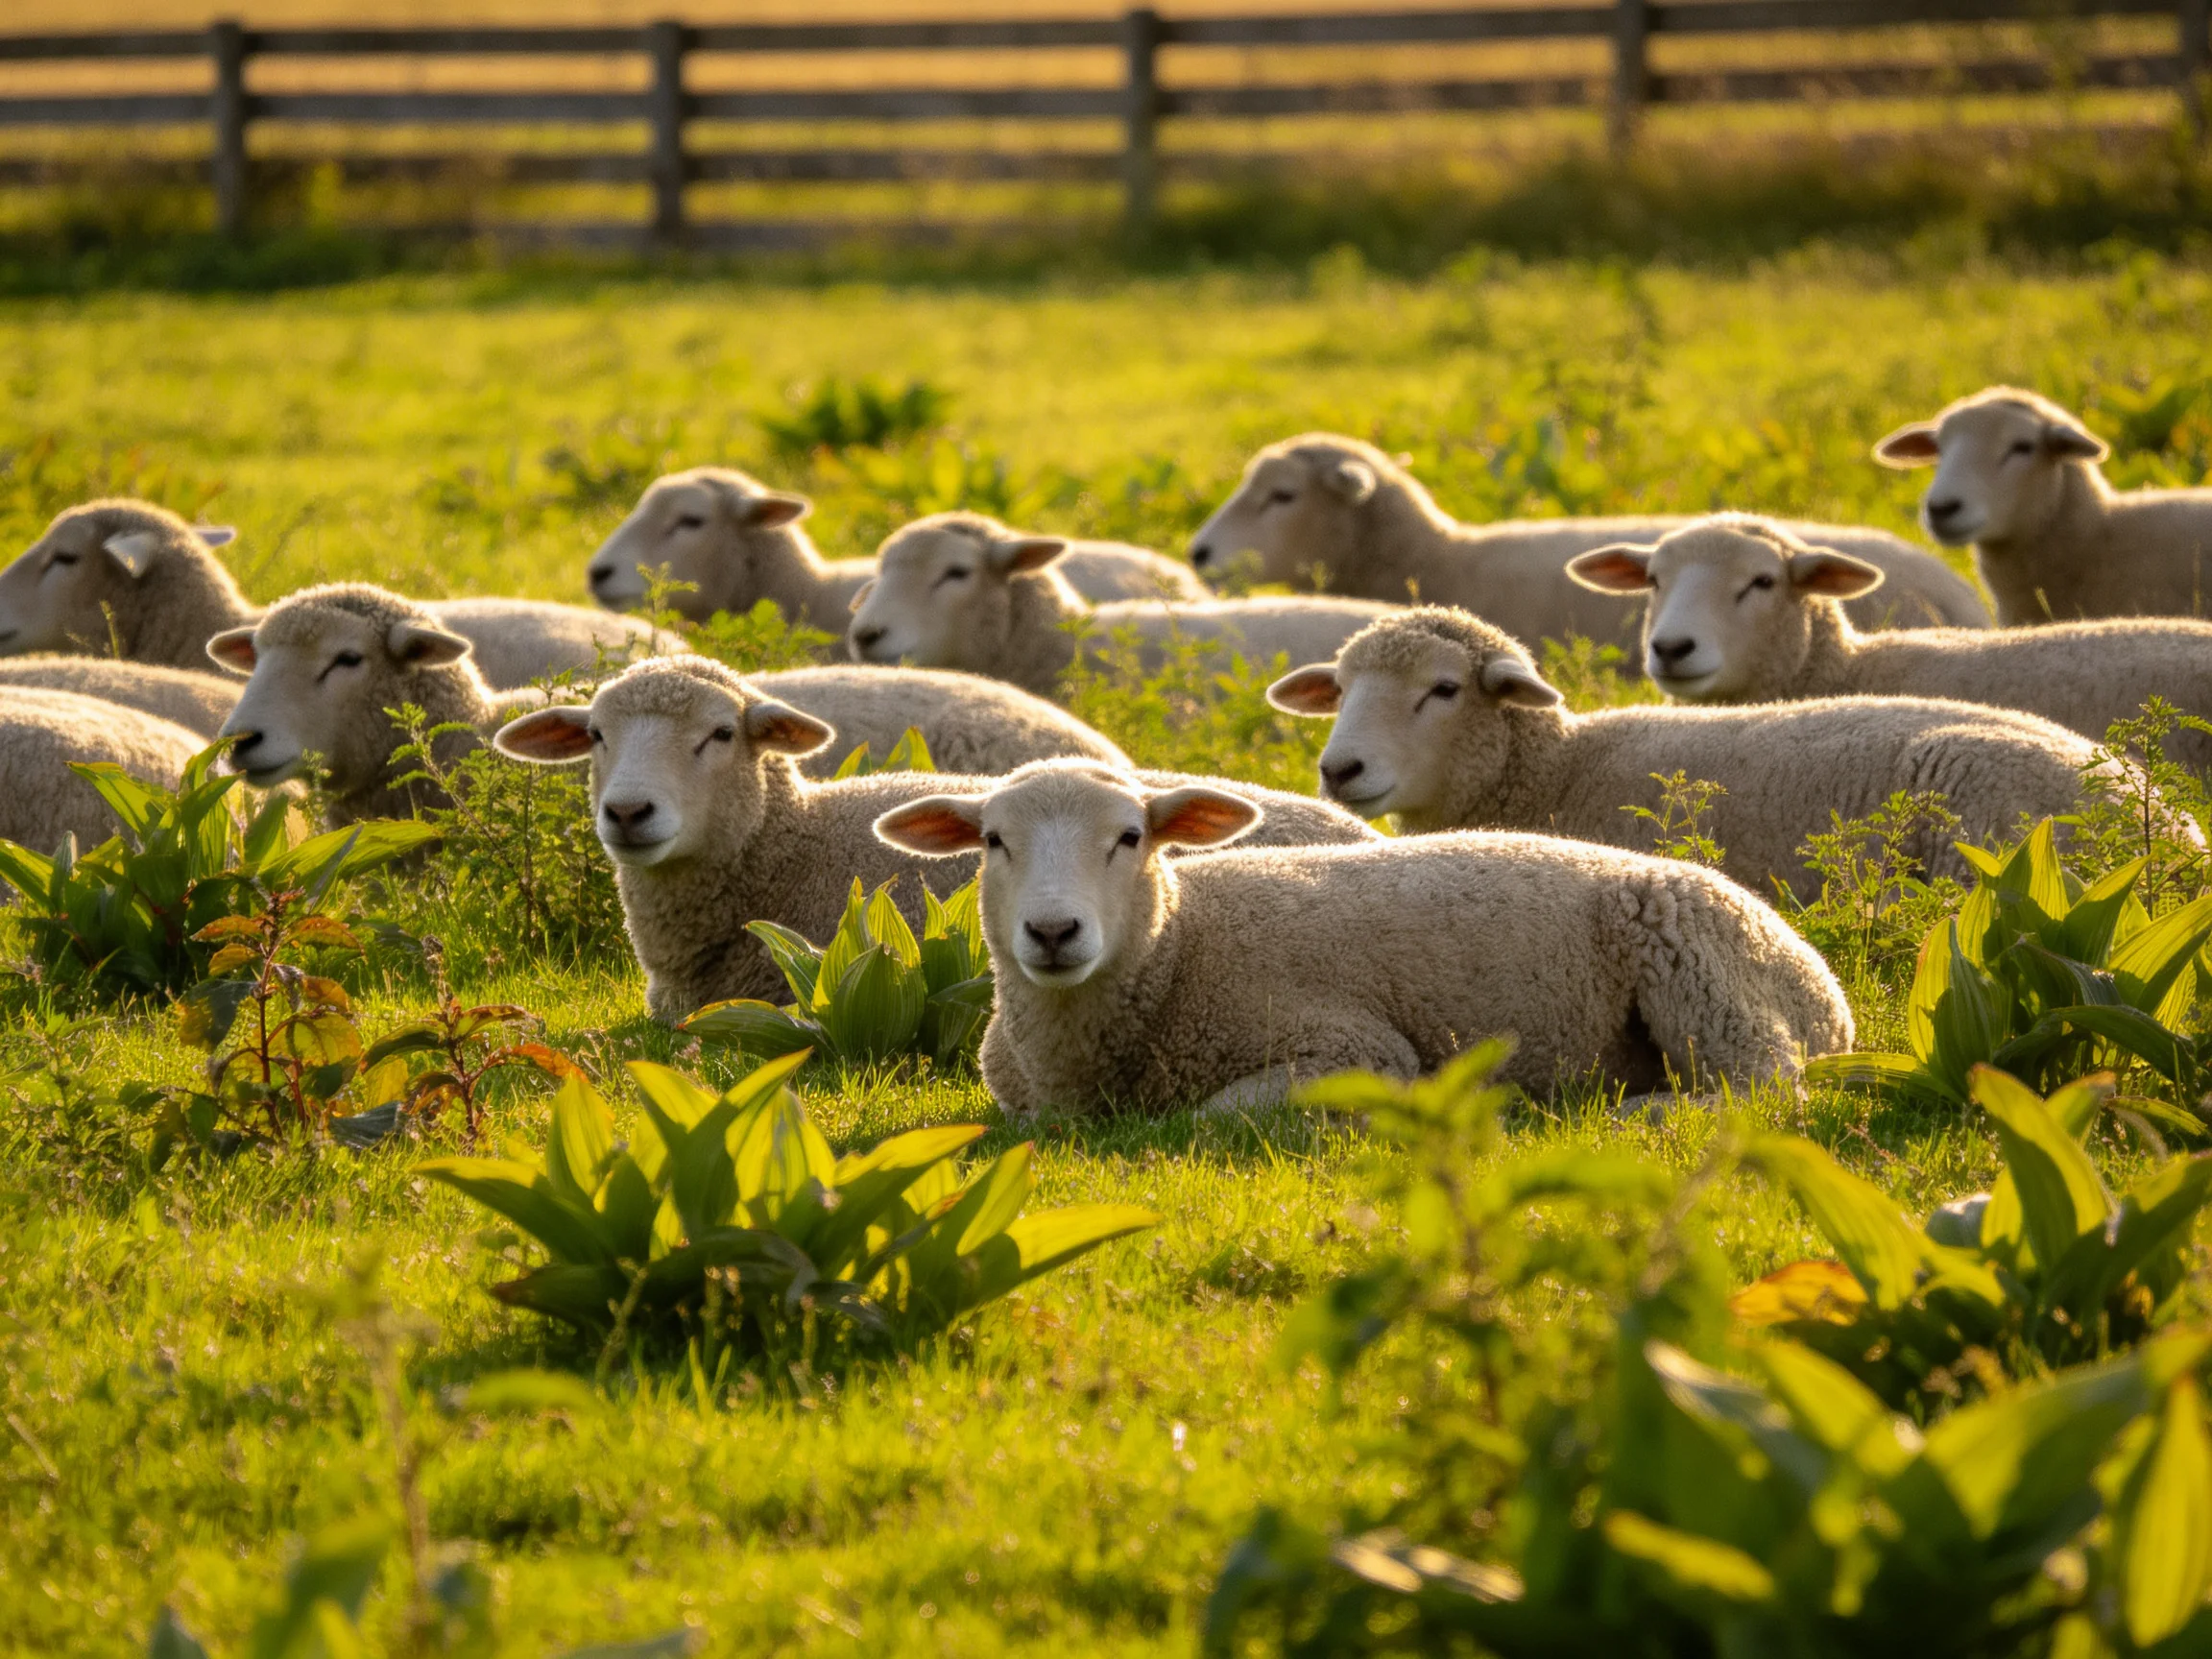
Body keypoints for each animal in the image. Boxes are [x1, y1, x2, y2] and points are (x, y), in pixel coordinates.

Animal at [872, 763, 1855, 1114]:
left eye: (1131, 837)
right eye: (992, 841)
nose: (1053, 930)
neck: (1181, 950)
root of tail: (1826, 988)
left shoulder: (1352, 1048)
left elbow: (1213, 1114)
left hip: (1706, 980)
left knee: (1761, 1088)